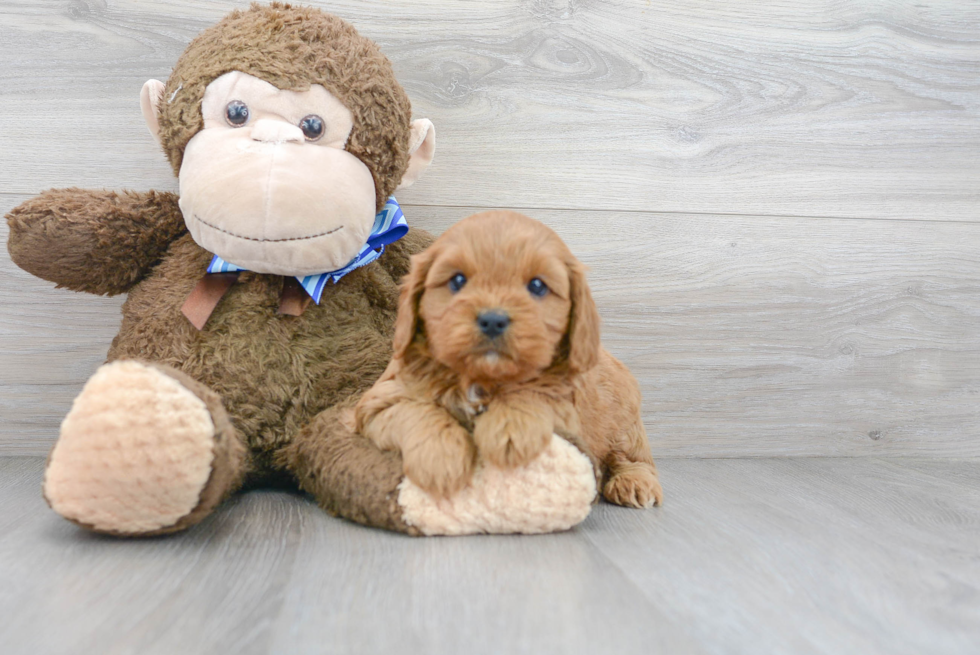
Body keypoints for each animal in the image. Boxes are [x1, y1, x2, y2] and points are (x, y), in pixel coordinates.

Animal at [356, 210, 664, 508]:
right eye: (457, 280)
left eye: (537, 286)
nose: (493, 320)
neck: (480, 378)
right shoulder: (380, 400)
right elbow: (415, 411)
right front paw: (439, 459)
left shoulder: (569, 409)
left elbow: (535, 391)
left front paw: (509, 429)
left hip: (626, 425)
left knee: (634, 458)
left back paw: (634, 483)